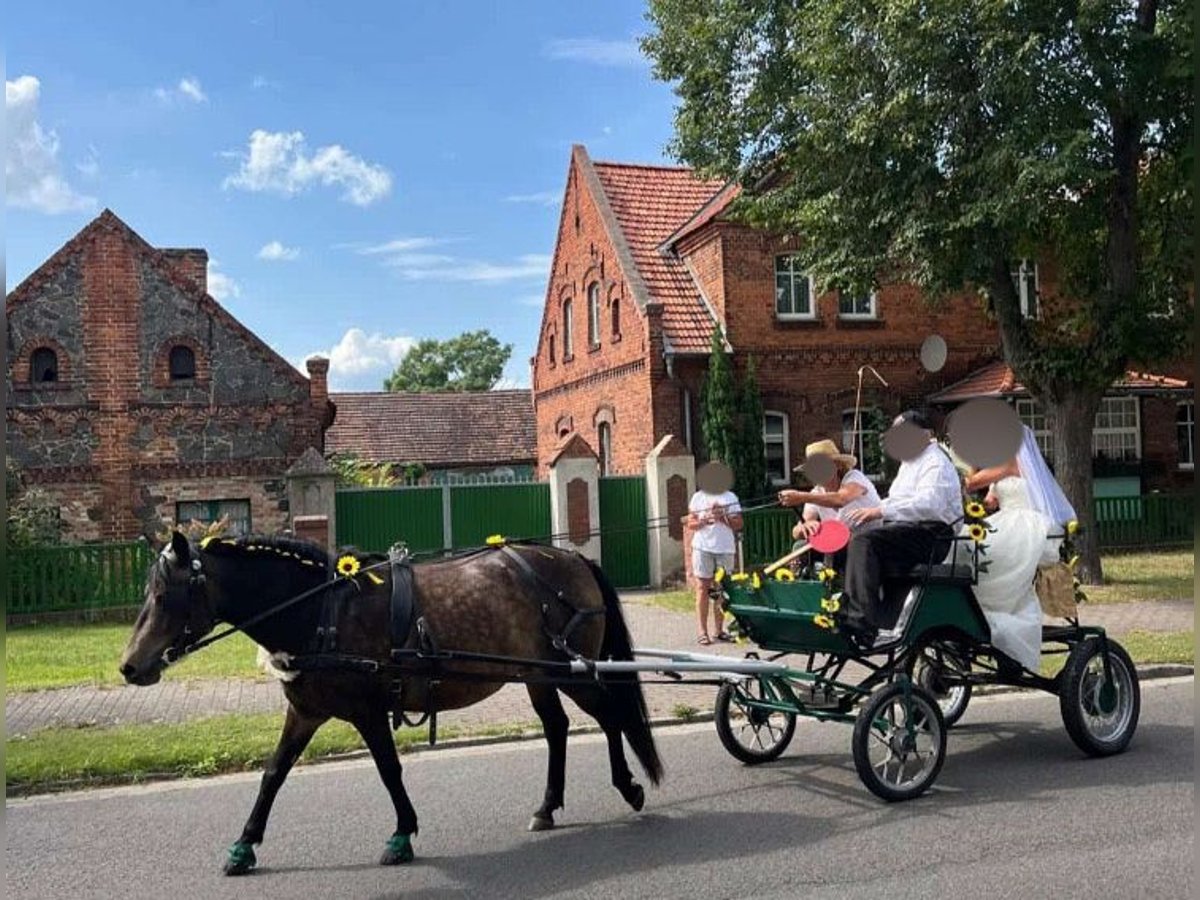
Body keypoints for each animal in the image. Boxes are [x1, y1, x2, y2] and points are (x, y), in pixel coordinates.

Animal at [117, 532, 662, 878]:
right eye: (149, 592)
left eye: (165, 596)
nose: (129, 666)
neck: (320, 610)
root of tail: (574, 559)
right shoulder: (306, 711)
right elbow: (273, 773)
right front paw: (244, 845)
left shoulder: (367, 710)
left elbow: (388, 769)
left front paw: (402, 834)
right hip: (538, 675)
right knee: (557, 727)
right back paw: (547, 807)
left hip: (573, 671)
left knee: (610, 716)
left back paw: (629, 787)